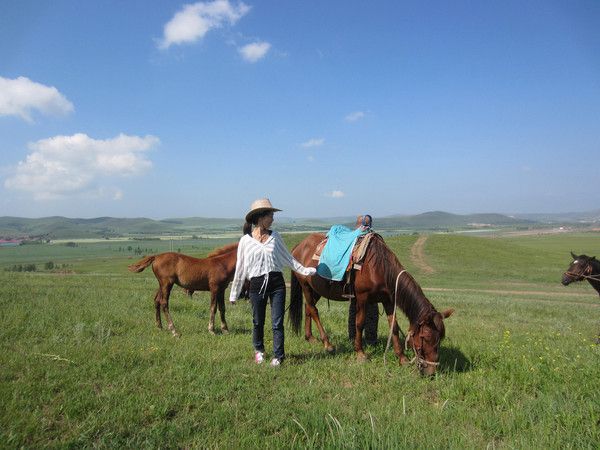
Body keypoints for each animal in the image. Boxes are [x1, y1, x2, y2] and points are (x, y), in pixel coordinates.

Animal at [288, 234, 452, 374]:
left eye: (440, 338)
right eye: (425, 337)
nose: (431, 371)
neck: (379, 267)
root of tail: (298, 246)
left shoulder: (388, 300)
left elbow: (394, 327)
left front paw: (402, 358)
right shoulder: (362, 298)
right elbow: (360, 323)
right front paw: (360, 353)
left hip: (316, 290)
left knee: (308, 308)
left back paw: (310, 337)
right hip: (306, 286)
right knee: (314, 310)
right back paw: (327, 344)